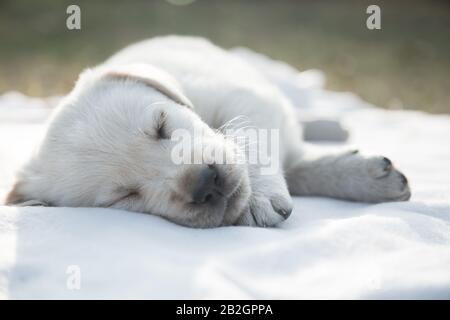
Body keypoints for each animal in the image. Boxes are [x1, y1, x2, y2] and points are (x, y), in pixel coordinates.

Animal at [3, 35, 412, 228]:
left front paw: (260, 195)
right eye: (124, 197)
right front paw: (366, 177)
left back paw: (331, 124)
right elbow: (298, 170)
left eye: (162, 126)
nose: (204, 183)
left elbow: (255, 141)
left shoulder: (243, 96)